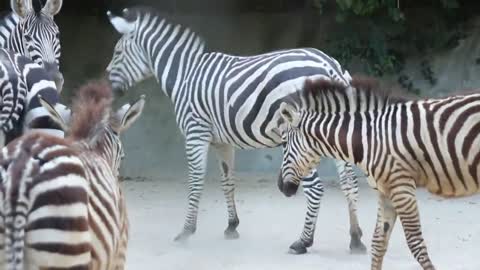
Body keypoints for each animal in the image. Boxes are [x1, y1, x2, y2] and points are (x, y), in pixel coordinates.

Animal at [105, 6, 366, 255]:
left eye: (117, 53)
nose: (106, 88)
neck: (185, 75)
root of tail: (329, 65)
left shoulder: (195, 133)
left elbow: (195, 181)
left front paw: (187, 230)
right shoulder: (223, 141)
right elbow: (227, 180)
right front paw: (232, 226)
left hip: (302, 139)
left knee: (316, 189)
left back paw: (303, 242)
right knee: (349, 183)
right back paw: (355, 238)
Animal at [278, 76, 480, 270]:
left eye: (284, 143)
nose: (281, 187)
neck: (369, 139)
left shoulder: (402, 188)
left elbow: (415, 243)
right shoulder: (386, 192)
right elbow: (378, 242)